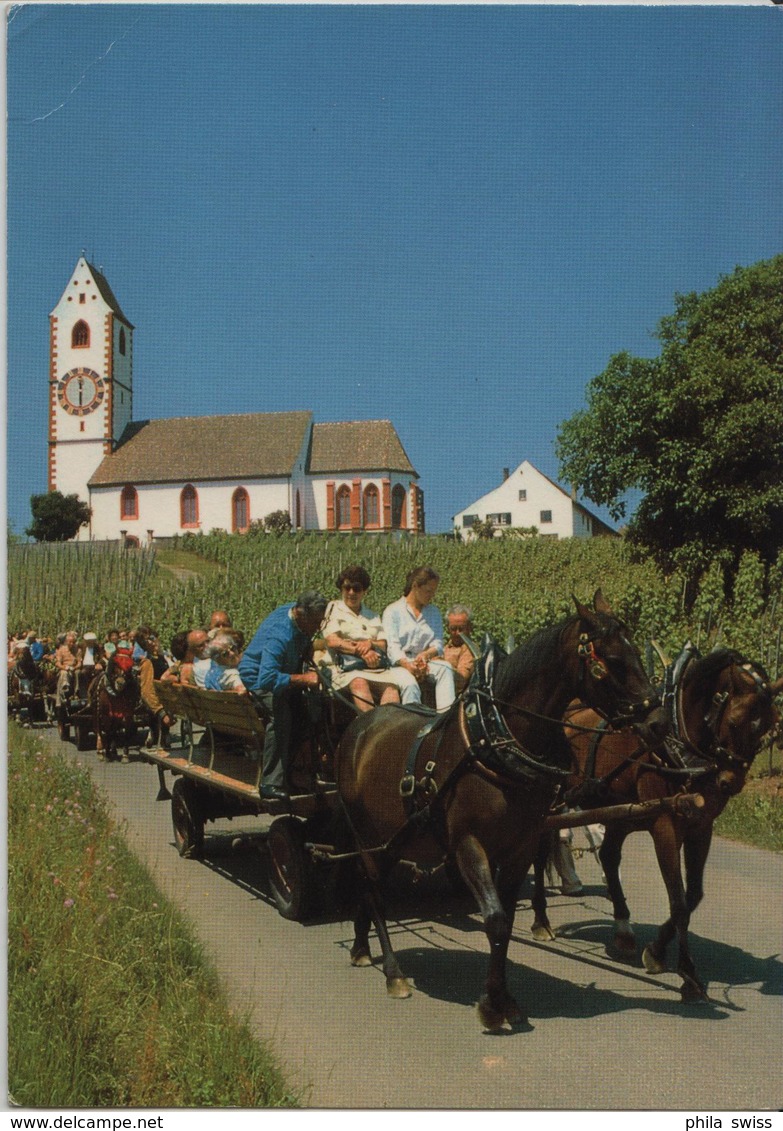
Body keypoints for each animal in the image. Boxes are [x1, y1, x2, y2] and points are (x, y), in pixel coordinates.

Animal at [332, 588, 665, 1031]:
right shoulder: (469, 845)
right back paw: (393, 972)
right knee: (373, 892)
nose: (658, 720)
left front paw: (506, 999)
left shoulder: (520, 847)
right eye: (609, 659)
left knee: (366, 889)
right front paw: (491, 1006)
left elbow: (505, 922)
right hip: (367, 836)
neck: (498, 741)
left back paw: (359, 947)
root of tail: (359, 725)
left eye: (635, 651)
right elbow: (494, 919)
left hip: (391, 840)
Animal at [529, 642, 778, 1004]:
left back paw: (623, 930)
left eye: (770, 726)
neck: (679, 743)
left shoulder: (701, 826)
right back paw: (541, 920)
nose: (730, 782)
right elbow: (678, 901)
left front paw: (657, 950)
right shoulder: (665, 825)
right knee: (538, 852)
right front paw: (685, 973)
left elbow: (693, 896)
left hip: (618, 810)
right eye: (733, 721)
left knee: (609, 856)